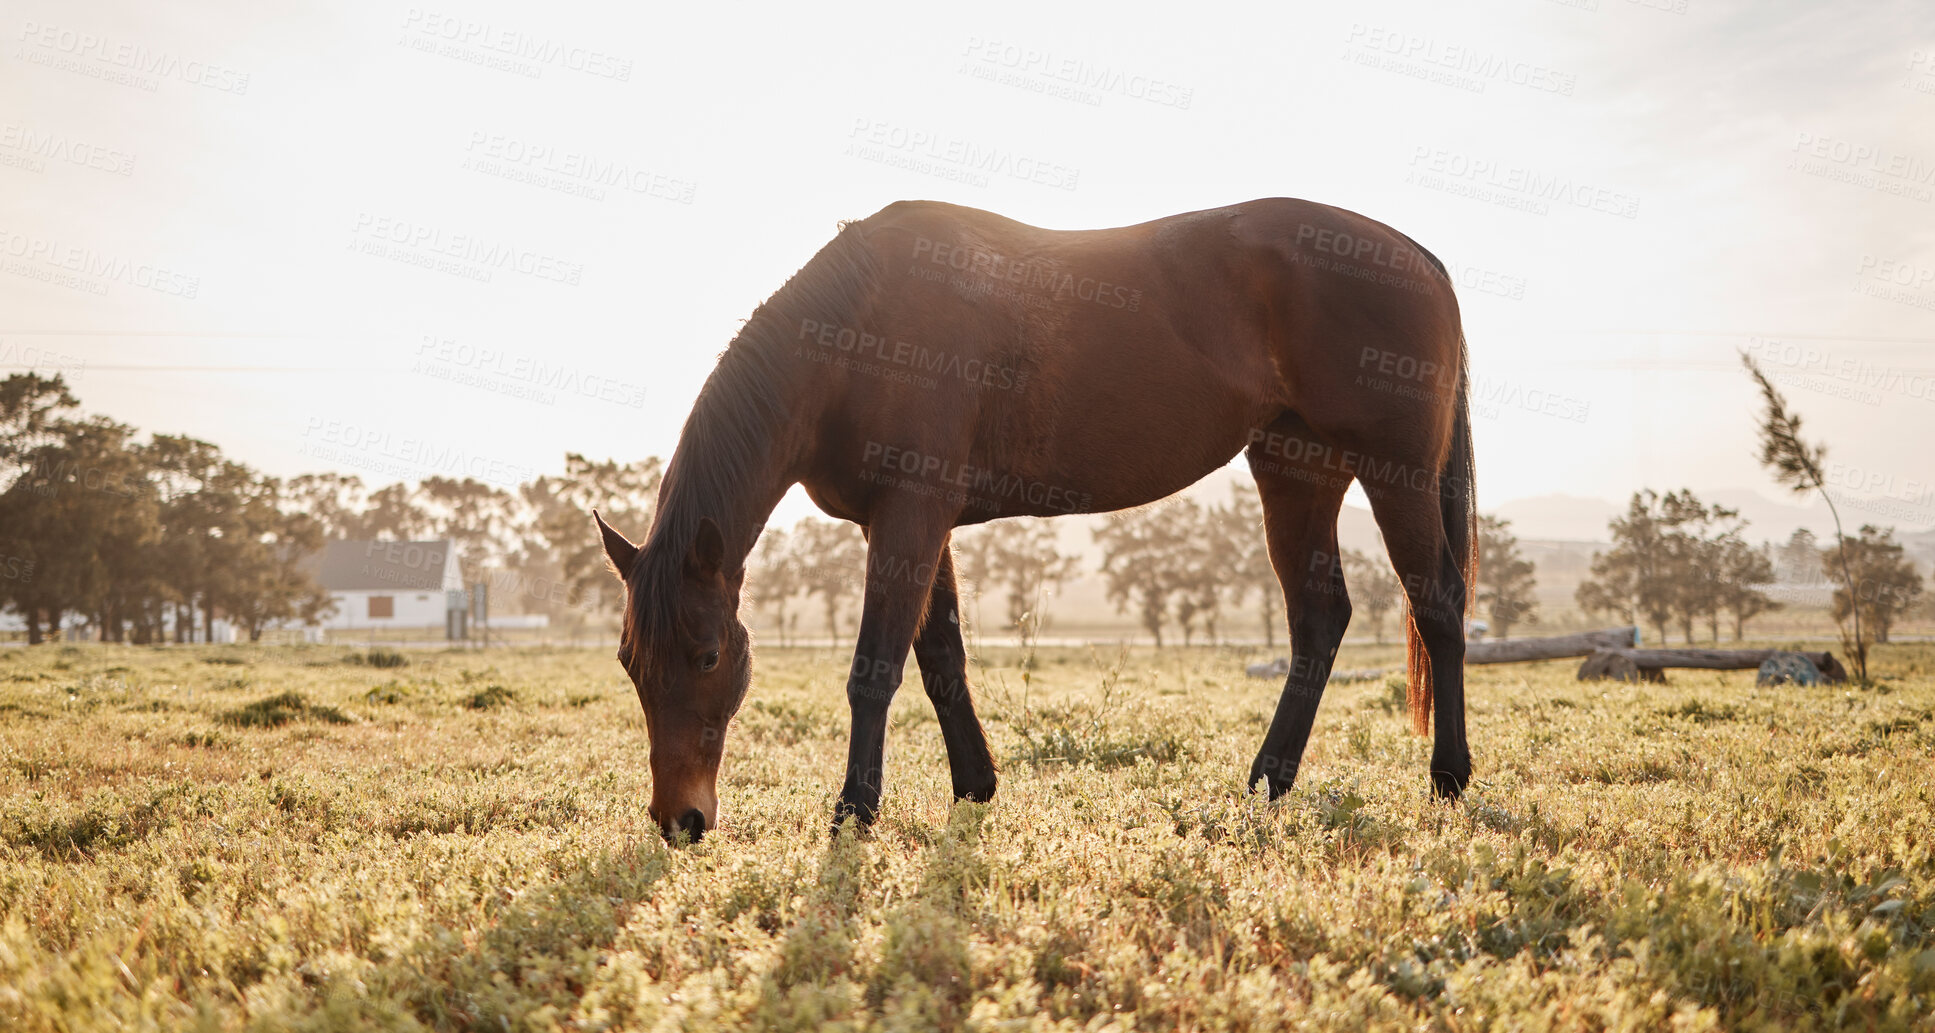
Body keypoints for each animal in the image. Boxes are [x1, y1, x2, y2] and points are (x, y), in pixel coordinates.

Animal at [595, 198, 1470, 847]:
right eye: (631, 662)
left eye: (708, 655)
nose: (680, 819)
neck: (857, 334)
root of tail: (1414, 255)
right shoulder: (913, 521)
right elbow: (939, 655)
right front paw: (974, 786)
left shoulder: (911, 512)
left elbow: (876, 667)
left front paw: (854, 810)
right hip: (1295, 470)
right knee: (1320, 618)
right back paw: (1267, 779)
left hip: (1392, 474)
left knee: (1436, 605)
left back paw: (1448, 778)